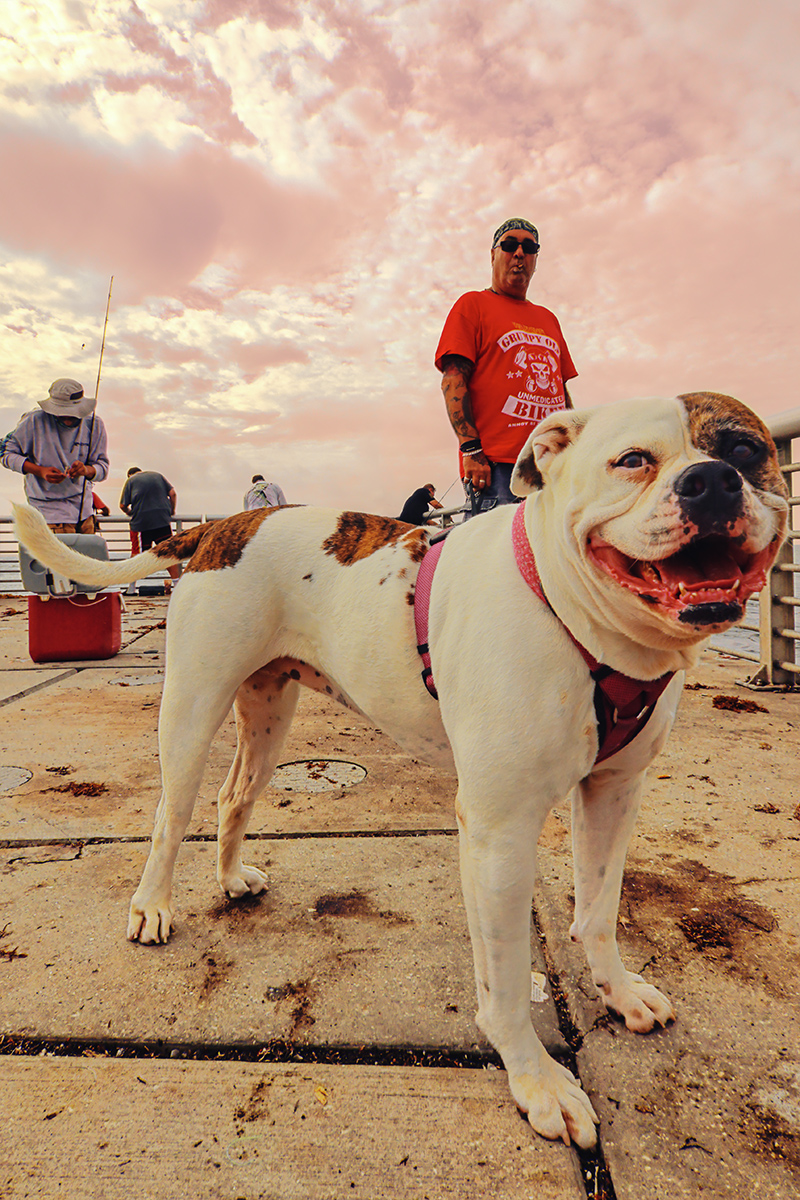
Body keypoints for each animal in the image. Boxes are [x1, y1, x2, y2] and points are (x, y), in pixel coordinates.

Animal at [12, 391, 786, 1142]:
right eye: (632, 460)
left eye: (748, 450)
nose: (711, 480)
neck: (578, 615)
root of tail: (223, 526)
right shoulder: (500, 830)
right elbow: (507, 977)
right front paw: (536, 1080)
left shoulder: (614, 794)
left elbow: (598, 912)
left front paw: (619, 993)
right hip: (192, 708)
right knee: (171, 815)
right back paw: (152, 906)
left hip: (268, 711)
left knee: (235, 797)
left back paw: (231, 879)